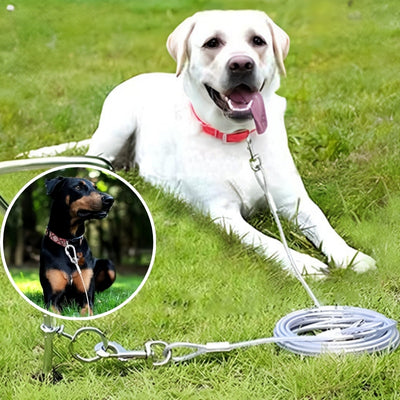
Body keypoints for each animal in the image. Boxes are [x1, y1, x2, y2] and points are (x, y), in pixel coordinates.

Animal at [39, 177, 115, 318]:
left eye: (95, 187)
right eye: (78, 187)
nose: (110, 199)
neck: (69, 242)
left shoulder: (86, 296)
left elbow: (87, 310)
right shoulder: (52, 298)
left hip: (109, 265)